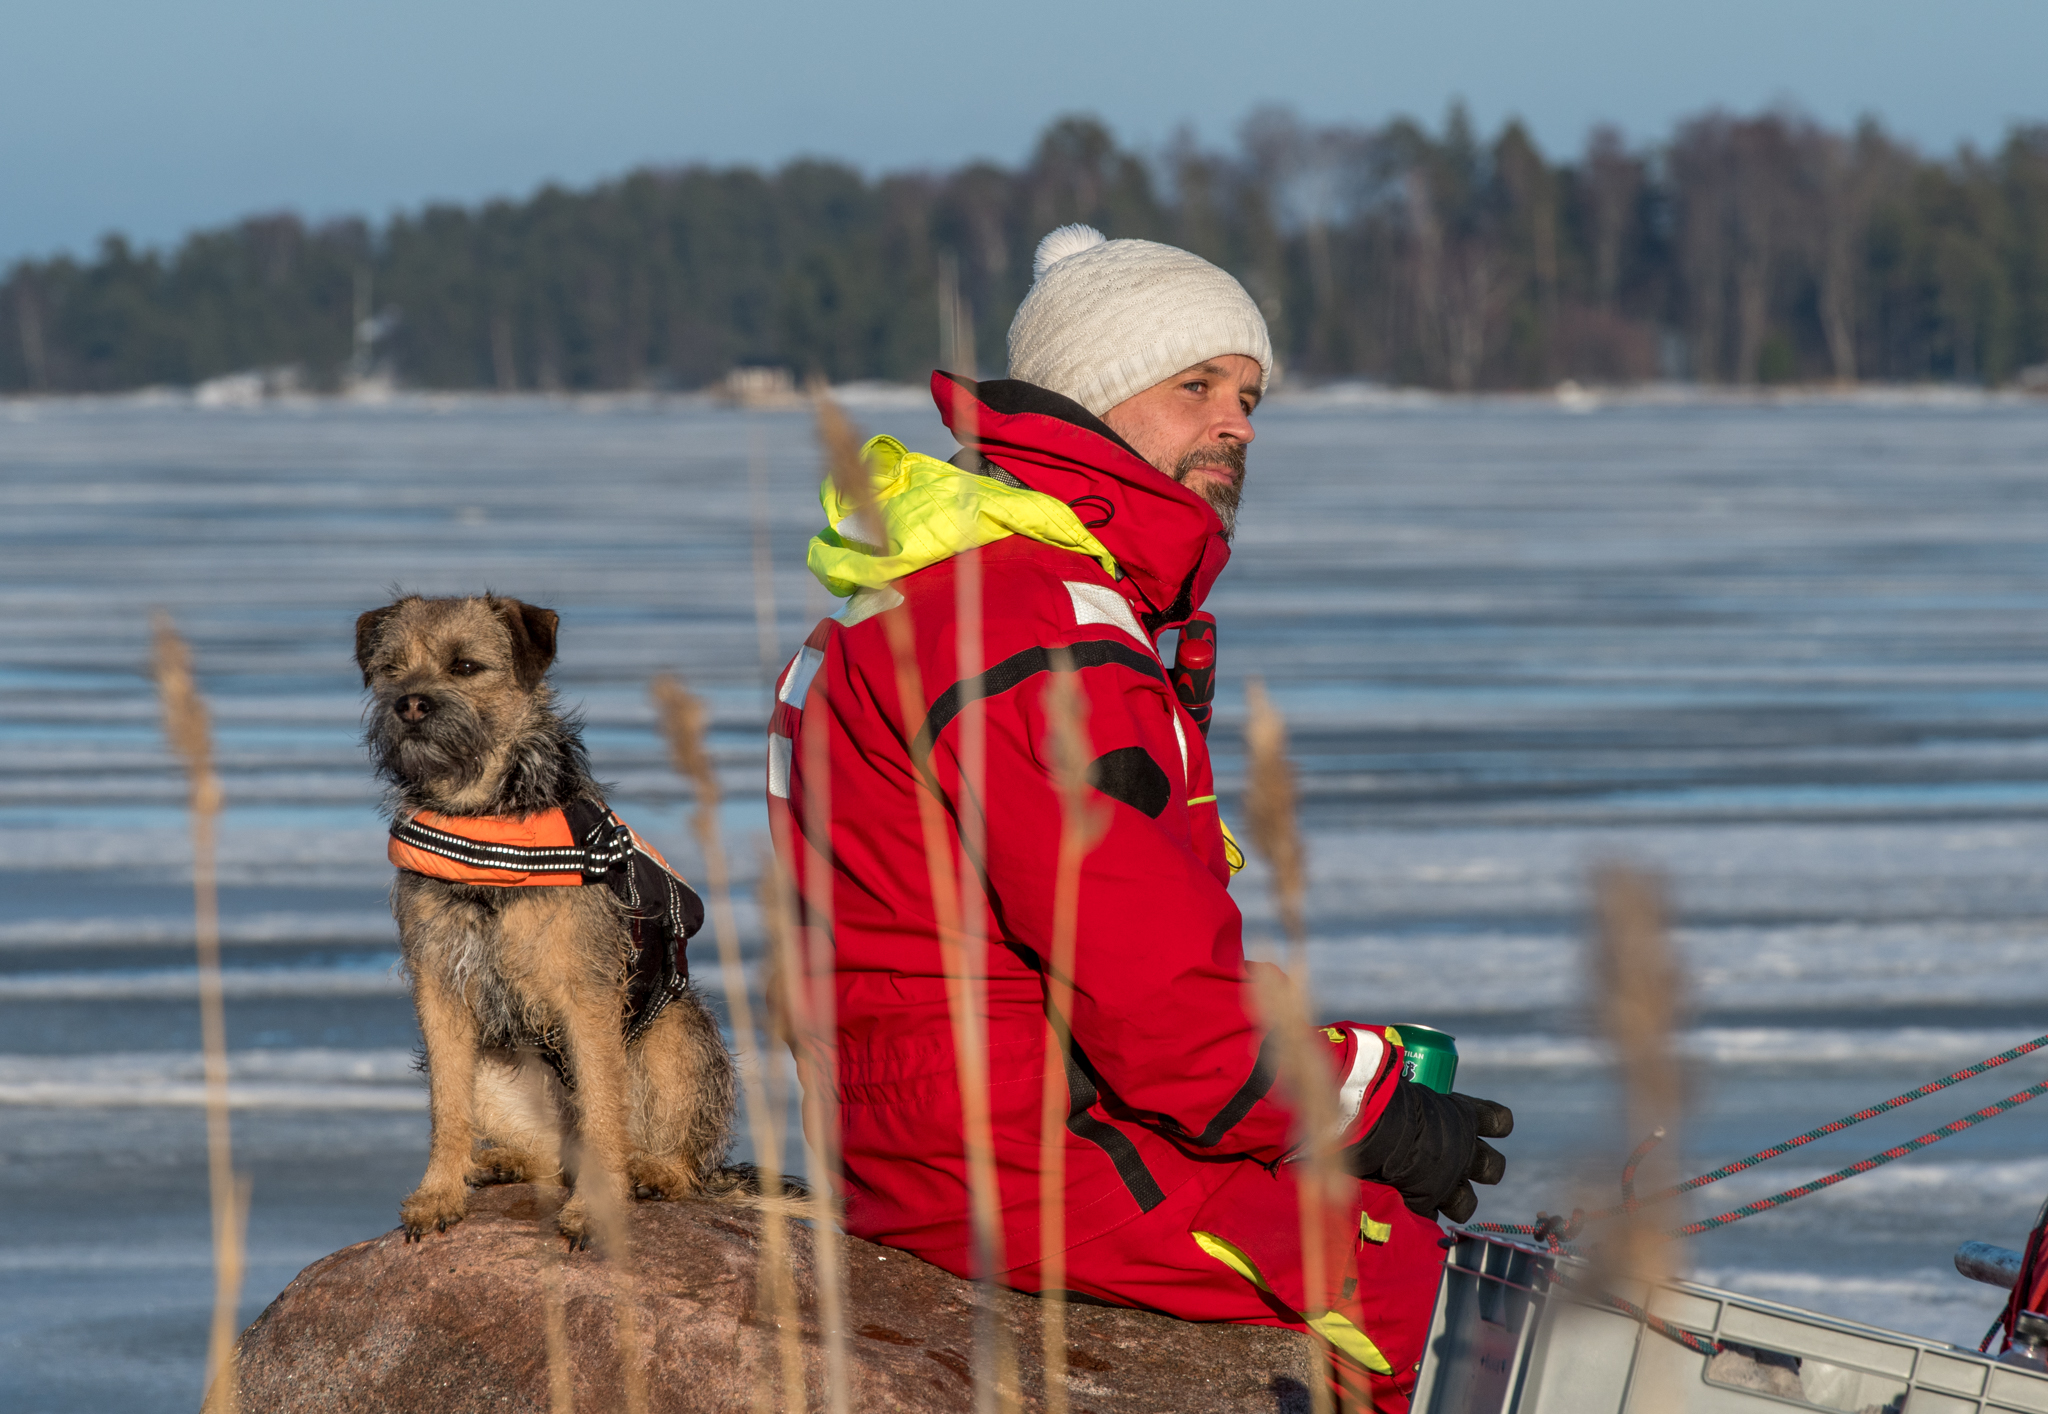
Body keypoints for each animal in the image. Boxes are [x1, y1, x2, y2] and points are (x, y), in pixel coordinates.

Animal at [358, 594, 737, 1245]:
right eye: (391, 670)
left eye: (465, 666)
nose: (409, 704)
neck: (482, 819)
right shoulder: (439, 991)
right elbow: (447, 1107)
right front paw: (438, 1194)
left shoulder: (587, 996)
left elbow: (604, 1109)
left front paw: (595, 1210)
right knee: (549, 1157)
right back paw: (502, 1160)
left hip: (674, 1031)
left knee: (671, 1156)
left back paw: (652, 1171)